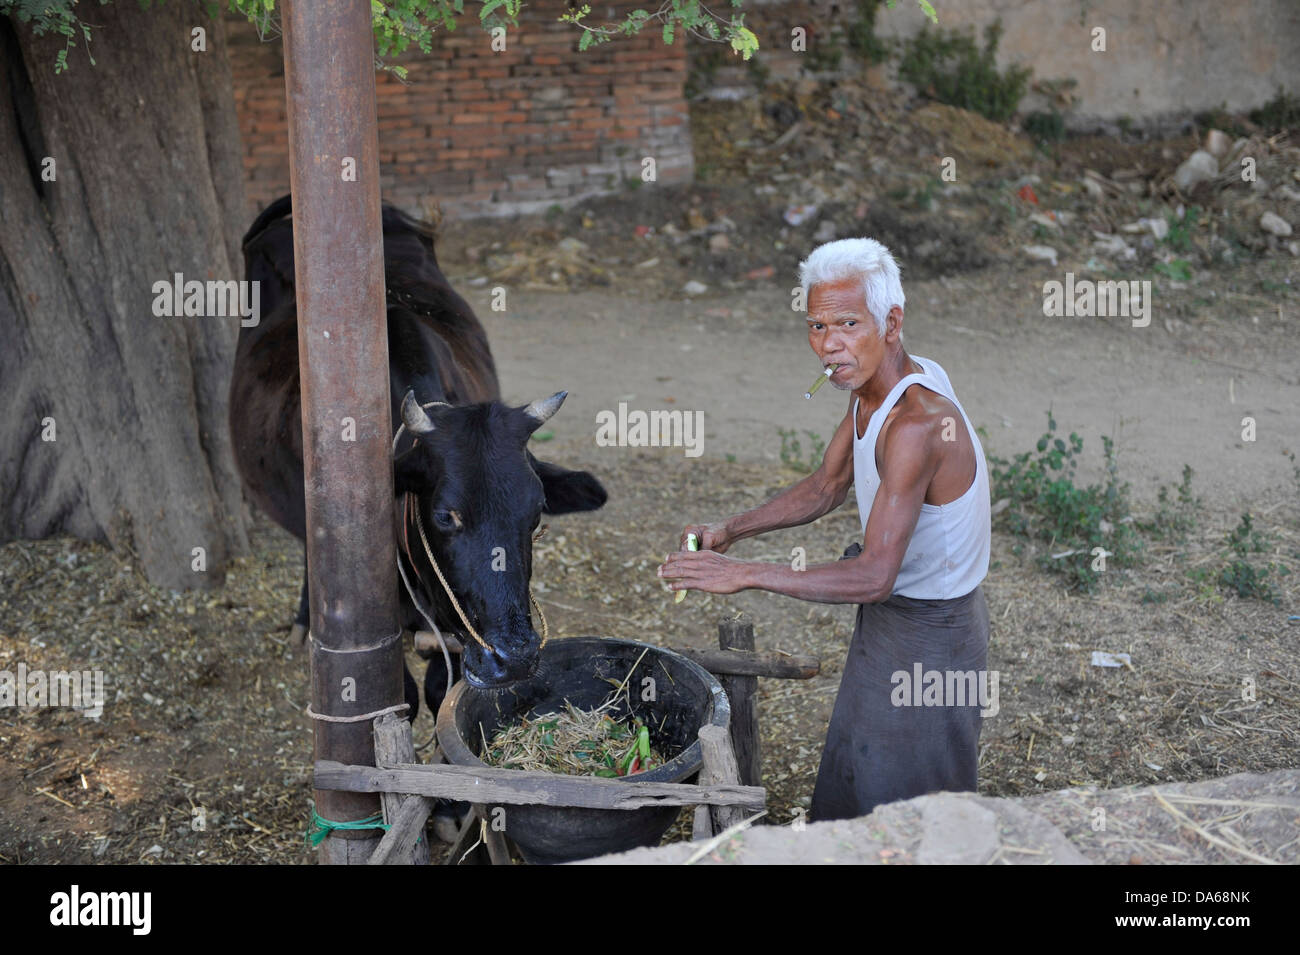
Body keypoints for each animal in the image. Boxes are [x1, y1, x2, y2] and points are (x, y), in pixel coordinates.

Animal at [227, 196, 603, 717]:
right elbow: (397, 697)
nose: (515, 658)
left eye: (536, 514)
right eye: (445, 517)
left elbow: (443, 690)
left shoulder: (453, 630)